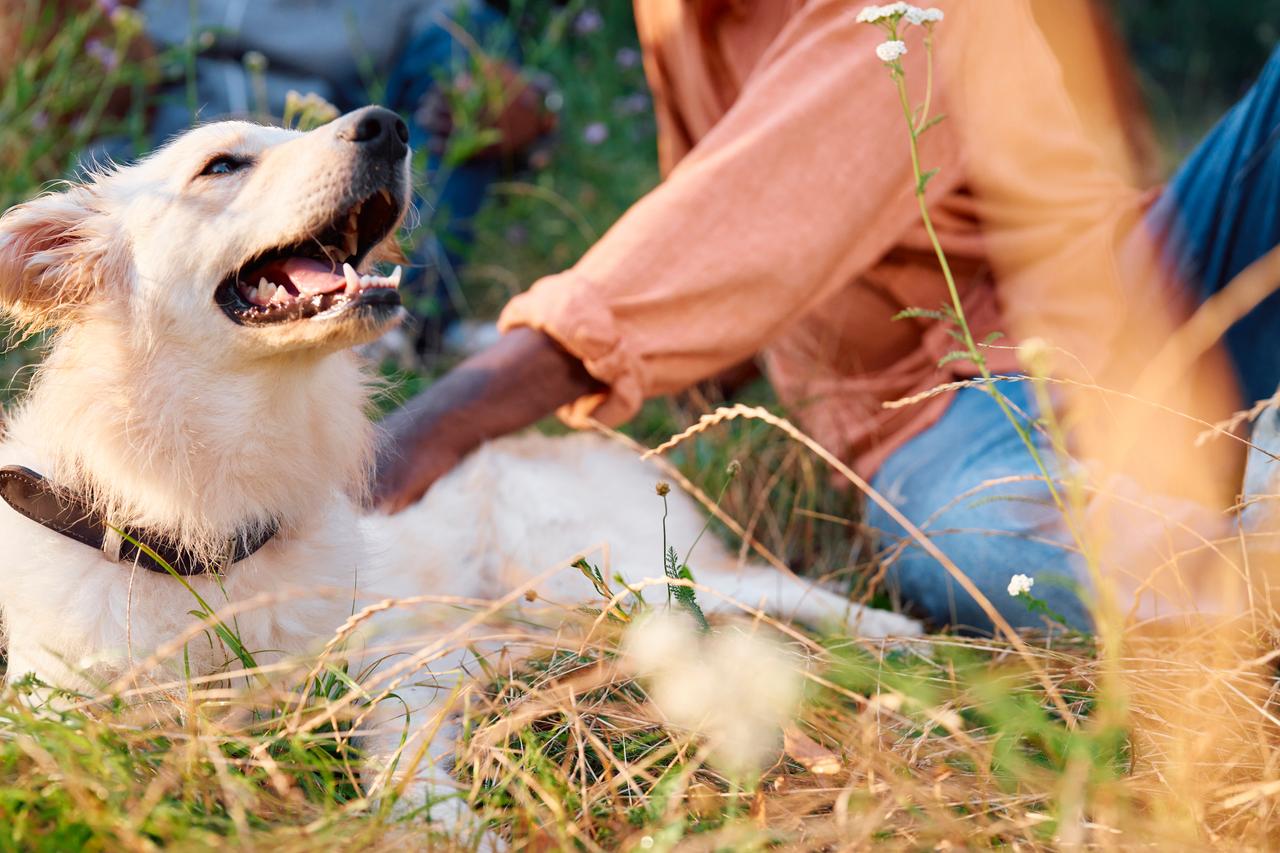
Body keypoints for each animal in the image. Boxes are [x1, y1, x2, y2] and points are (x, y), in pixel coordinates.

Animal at [0, 106, 921, 819]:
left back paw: (902, 637)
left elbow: (400, 763)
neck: (201, 515)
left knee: (779, 584)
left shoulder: (395, 656)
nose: (388, 125)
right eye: (221, 164)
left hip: (607, 571)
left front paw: (440, 825)